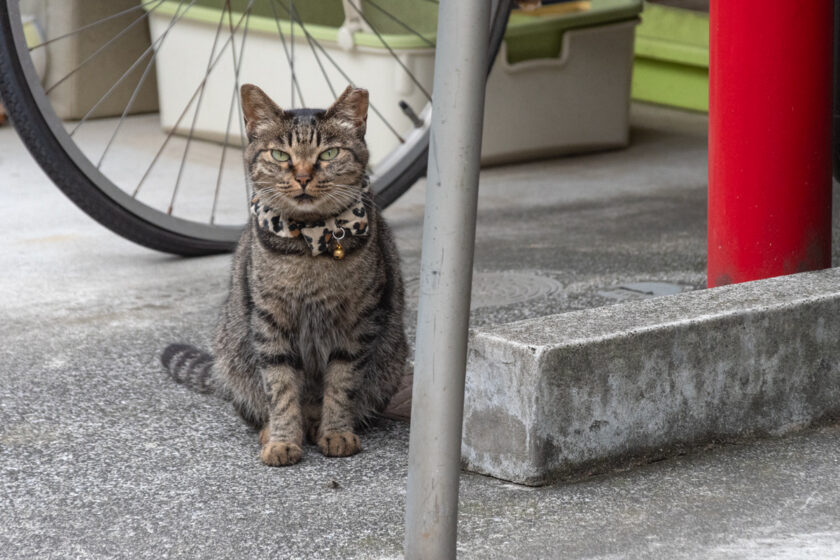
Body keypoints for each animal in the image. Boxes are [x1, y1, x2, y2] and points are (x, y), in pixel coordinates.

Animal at [162, 83, 410, 466]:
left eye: (329, 153)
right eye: (280, 155)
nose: (304, 176)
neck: (309, 242)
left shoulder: (357, 323)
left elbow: (341, 385)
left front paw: (336, 432)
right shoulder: (269, 321)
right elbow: (280, 388)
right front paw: (282, 440)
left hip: (391, 363)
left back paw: (318, 425)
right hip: (234, 356)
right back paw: (274, 430)